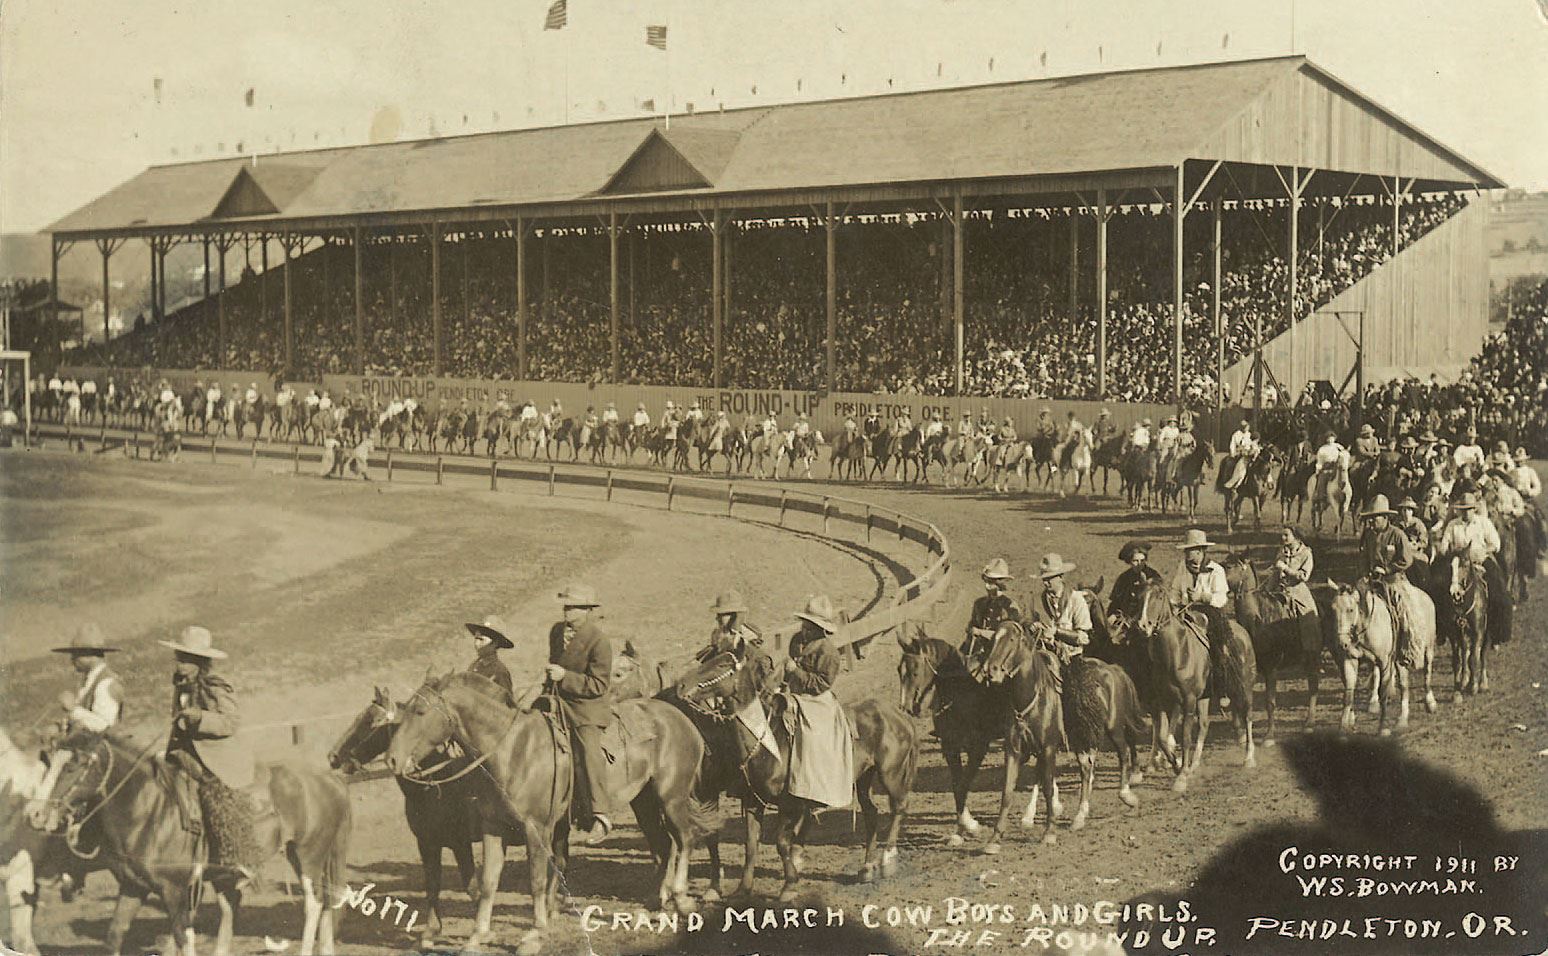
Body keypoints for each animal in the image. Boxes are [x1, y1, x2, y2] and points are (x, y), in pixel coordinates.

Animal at [34, 730, 351, 952]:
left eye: (74, 765)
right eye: (48, 763)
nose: (37, 813)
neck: (149, 813)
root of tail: (328, 777)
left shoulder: (175, 891)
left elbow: (182, 939)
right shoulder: (133, 887)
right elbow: (115, 936)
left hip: (308, 854)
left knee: (314, 903)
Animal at [383, 671, 705, 952]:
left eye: (420, 712)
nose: (392, 759)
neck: (513, 751)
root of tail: (681, 718)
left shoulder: (535, 830)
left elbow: (537, 880)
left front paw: (534, 934)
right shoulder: (492, 828)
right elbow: (488, 882)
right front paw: (477, 936)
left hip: (671, 798)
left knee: (685, 839)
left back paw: (681, 898)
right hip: (644, 803)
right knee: (664, 845)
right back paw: (655, 903)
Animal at [668, 646, 910, 903]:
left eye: (722, 665)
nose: (681, 685)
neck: (767, 742)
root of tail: (896, 714)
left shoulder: (790, 804)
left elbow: (781, 843)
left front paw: (789, 886)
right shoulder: (753, 801)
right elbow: (751, 845)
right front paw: (743, 889)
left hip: (890, 775)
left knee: (899, 807)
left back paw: (887, 859)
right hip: (864, 779)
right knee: (871, 814)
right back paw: (867, 867)